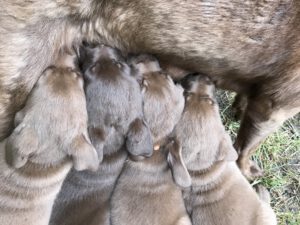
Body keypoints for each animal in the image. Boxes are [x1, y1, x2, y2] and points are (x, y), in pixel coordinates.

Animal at [173, 74, 276, 225]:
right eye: (212, 102)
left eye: (186, 95)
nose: (200, 75)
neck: (202, 169)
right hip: (265, 213)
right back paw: (262, 191)